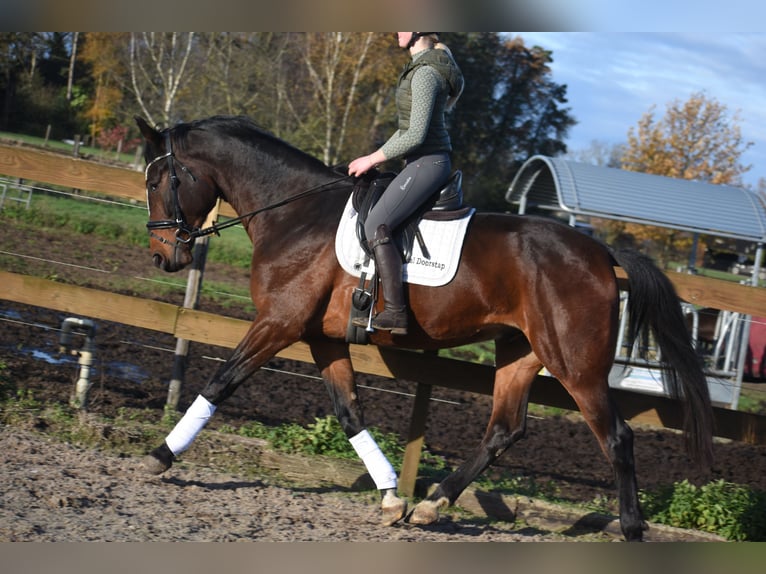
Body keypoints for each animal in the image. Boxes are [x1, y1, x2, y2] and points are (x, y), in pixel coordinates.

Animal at [135, 115, 713, 541]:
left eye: (159, 180)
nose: (163, 256)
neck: (296, 214)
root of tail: (600, 252)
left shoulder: (278, 323)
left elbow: (221, 382)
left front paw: (161, 456)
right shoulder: (321, 337)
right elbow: (349, 412)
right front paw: (392, 497)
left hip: (575, 365)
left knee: (616, 437)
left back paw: (632, 530)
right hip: (520, 352)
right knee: (504, 430)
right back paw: (432, 506)